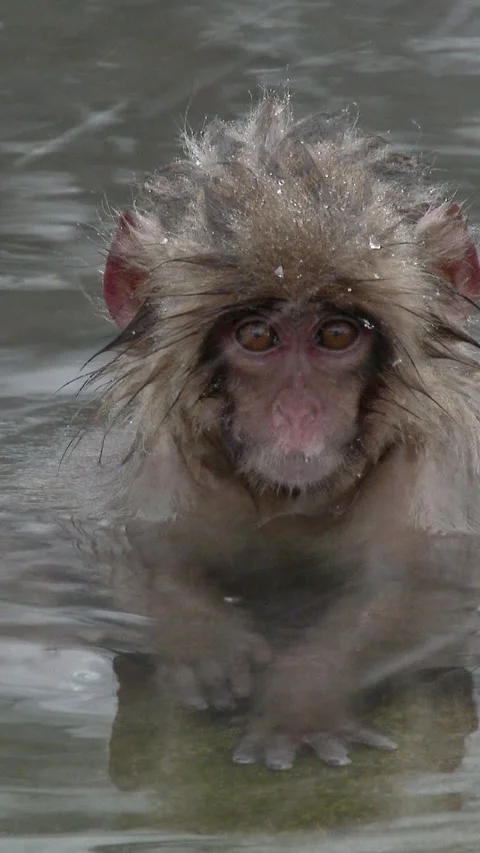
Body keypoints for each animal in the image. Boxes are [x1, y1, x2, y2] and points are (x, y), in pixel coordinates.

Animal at [94, 94, 480, 771]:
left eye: (336, 334)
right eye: (257, 336)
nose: (296, 414)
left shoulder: (426, 482)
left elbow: (418, 591)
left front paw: (304, 694)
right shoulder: (168, 480)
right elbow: (137, 561)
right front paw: (197, 637)